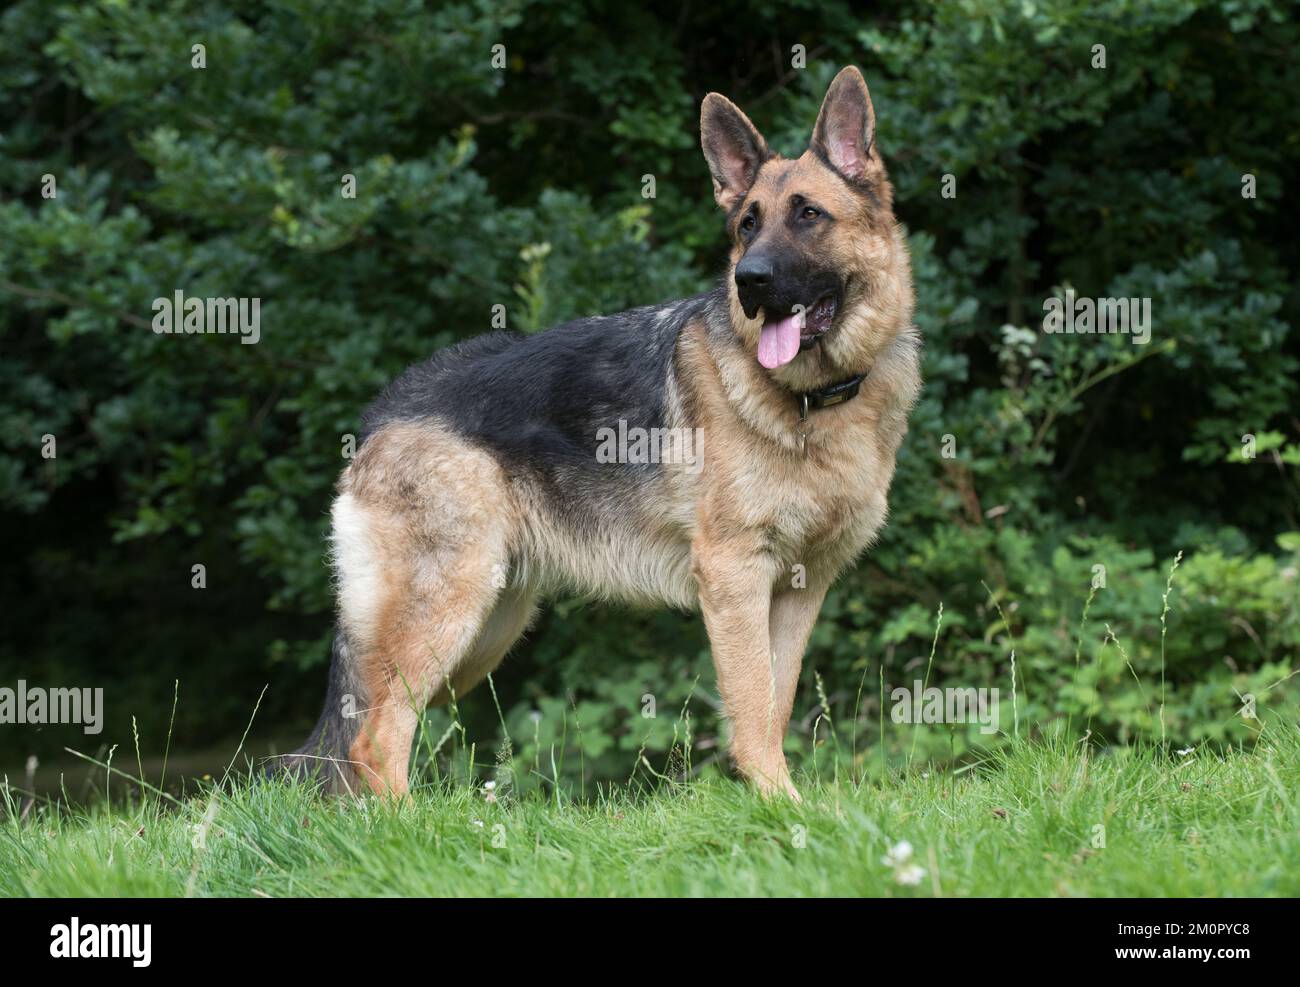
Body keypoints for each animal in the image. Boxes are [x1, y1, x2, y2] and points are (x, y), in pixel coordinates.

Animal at [280, 65, 920, 801]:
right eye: (748, 225)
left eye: (809, 215)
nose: (749, 281)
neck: (815, 400)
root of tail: (383, 410)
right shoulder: (734, 577)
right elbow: (753, 707)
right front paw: (781, 808)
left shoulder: (798, 589)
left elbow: (775, 699)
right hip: (449, 613)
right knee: (374, 740)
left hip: (484, 634)